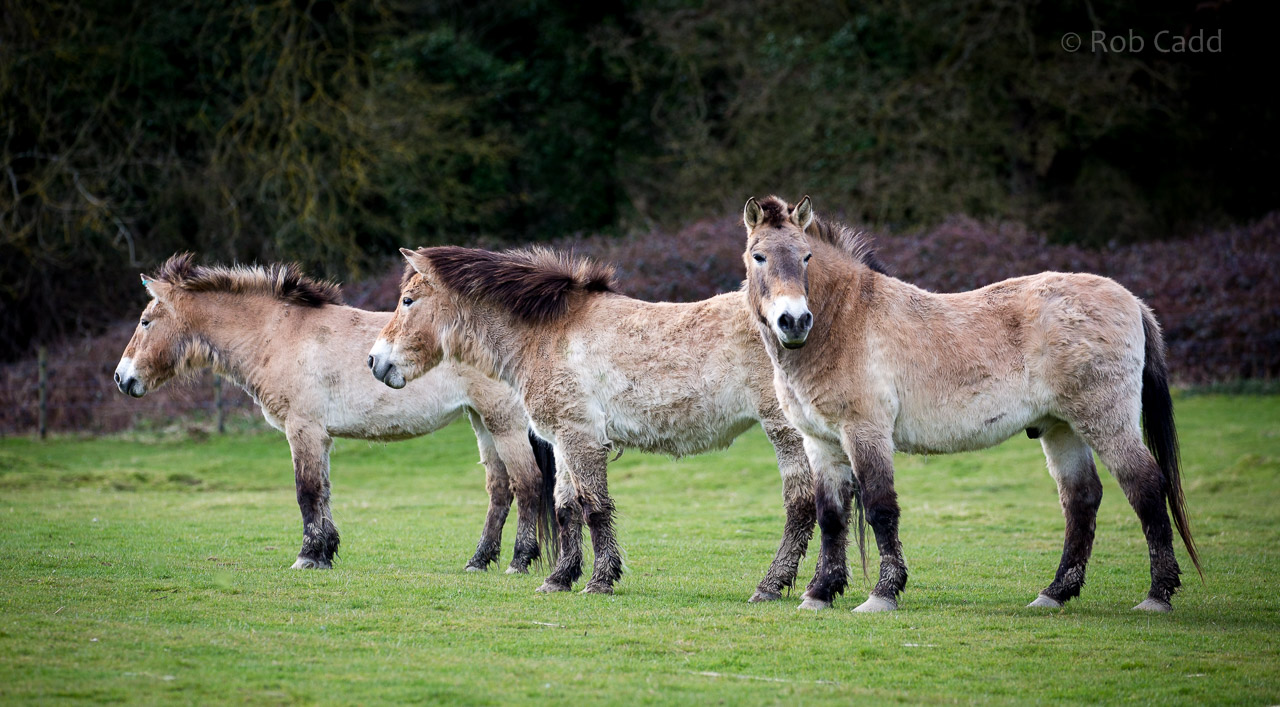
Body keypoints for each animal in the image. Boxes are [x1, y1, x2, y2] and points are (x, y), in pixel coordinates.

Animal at [113, 253, 557, 574]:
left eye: (145, 321)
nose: (121, 377)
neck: (278, 334)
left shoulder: (303, 429)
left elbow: (306, 491)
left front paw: (307, 556)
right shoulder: (319, 435)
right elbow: (322, 491)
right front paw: (325, 552)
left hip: (503, 422)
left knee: (528, 484)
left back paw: (518, 561)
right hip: (481, 420)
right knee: (500, 489)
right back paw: (478, 561)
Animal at [367, 246, 824, 601]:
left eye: (407, 300)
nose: (375, 361)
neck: (549, 332)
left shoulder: (580, 437)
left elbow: (594, 507)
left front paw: (600, 580)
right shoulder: (563, 440)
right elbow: (566, 508)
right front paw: (559, 578)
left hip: (787, 432)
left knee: (803, 503)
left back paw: (775, 585)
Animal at [740, 195, 1202, 612]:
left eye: (806, 256)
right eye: (758, 256)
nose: (794, 321)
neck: (845, 320)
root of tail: (1131, 300)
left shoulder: (865, 432)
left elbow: (880, 508)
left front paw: (883, 593)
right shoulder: (821, 442)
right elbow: (831, 516)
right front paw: (820, 593)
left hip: (1105, 421)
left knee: (1146, 487)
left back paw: (1157, 596)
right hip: (1062, 428)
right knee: (1081, 499)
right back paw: (1054, 593)